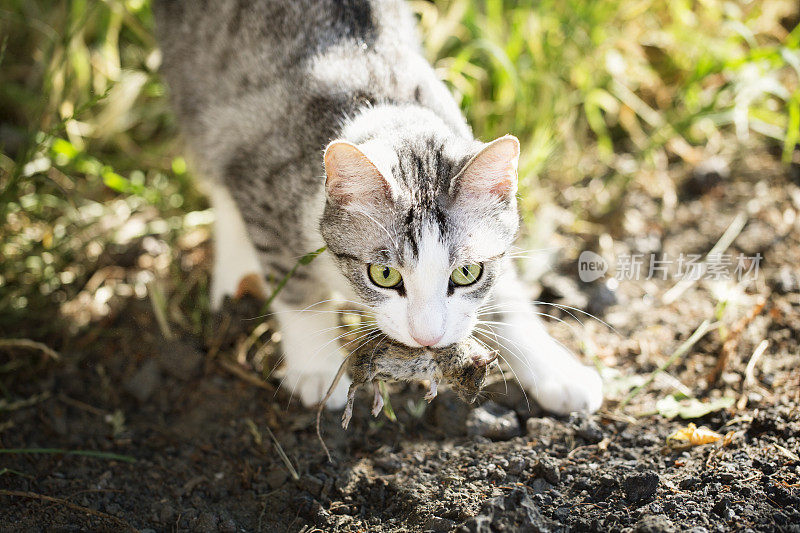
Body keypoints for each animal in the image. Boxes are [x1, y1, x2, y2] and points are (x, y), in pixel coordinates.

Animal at [155, 0, 600, 414]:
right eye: (384, 275)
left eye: (467, 273)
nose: (427, 337)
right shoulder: (261, 184)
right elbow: (298, 288)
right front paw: (316, 366)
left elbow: (505, 293)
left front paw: (557, 371)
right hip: (200, 97)